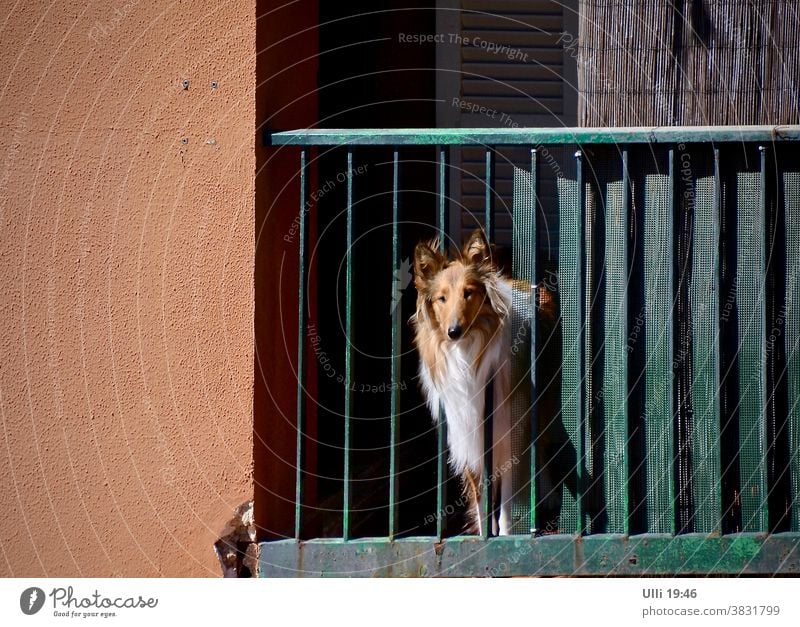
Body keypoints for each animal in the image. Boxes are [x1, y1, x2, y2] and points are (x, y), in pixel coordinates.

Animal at [412, 229, 520, 536]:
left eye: (468, 293)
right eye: (441, 298)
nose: (453, 331)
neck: (467, 351)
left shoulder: (506, 429)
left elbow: (506, 497)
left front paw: (505, 535)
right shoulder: (466, 430)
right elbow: (479, 493)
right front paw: (485, 535)